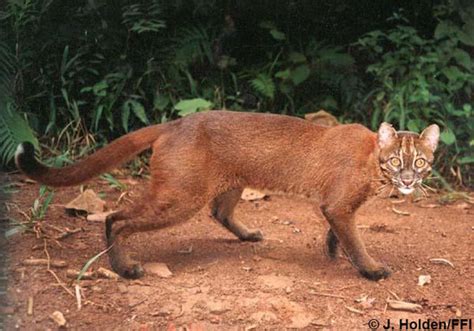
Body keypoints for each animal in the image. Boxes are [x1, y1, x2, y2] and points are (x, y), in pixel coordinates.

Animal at [14, 111, 438, 280]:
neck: (371, 162)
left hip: (229, 183)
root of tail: (174, 122)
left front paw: (333, 252)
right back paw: (126, 268)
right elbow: (355, 240)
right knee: (116, 218)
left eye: (420, 162)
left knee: (219, 212)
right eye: (396, 160)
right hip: (180, 196)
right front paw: (371, 269)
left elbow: (337, 233)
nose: (407, 180)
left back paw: (249, 235)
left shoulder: (334, 207)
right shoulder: (339, 204)